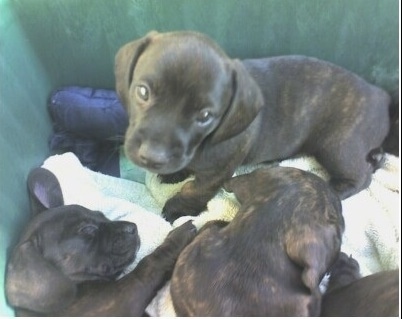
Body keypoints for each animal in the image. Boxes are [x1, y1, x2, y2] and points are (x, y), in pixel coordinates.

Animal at [5, 169, 196, 316]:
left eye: (101, 215)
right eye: (87, 230)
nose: (133, 227)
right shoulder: (128, 293)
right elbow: (149, 264)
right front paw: (179, 235)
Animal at [114, 31, 392, 224]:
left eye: (205, 116)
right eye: (143, 92)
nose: (153, 157)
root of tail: (380, 95)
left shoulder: (216, 173)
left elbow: (195, 190)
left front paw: (177, 209)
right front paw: (176, 173)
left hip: (338, 146)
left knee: (362, 176)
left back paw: (330, 189)